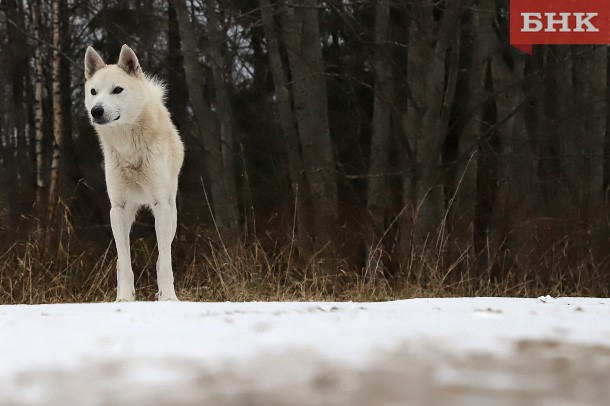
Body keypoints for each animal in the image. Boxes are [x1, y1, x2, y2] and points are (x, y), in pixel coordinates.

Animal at [83, 44, 183, 302]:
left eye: (117, 90)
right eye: (94, 92)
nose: (96, 111)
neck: (129, 146)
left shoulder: (160, 205)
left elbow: (164, 260)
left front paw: (169, 297)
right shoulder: (117, 208)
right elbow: (125, 262)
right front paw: (125, 299)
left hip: (171, 213)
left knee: (164, 255)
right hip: (124, 216)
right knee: (121, 260)